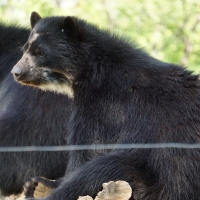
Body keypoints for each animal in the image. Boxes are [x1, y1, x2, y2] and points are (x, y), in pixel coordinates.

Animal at [11, 11, 200, 199]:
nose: (16, 72)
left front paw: (51, 183)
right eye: (24, 50)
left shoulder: (107, 105)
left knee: (101, 170)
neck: (92, 70)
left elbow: (90, 146)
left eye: (41, 53)